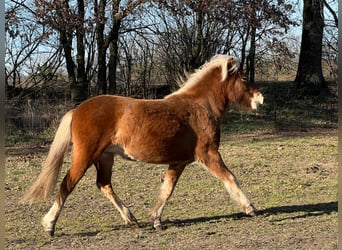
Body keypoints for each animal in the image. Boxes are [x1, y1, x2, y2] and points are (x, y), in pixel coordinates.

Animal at [22, 53, 264, 235]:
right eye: (244, 78)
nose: (260, 99)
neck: (199, 107)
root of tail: (77, 110)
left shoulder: (179, 162)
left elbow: (167, 189)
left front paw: (155, 219)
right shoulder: (208, 154)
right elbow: (230, 177)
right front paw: (250, 208)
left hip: (105, 157)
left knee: (104, 185)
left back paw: (132, 219)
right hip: (85, 155)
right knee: (67, 184)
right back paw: (49, 225)